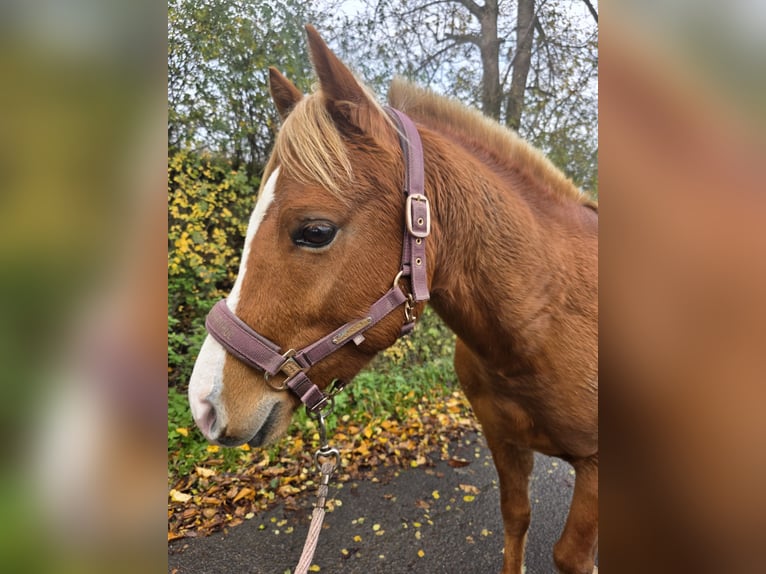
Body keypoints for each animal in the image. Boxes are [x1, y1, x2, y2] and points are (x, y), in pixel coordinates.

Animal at [188, 25, 598, 574]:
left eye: (315, 231)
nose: (204, 404)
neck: (547, 316)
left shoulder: (595, 470)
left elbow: (571, 555)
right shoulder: (503, 441)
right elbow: (516, 518)